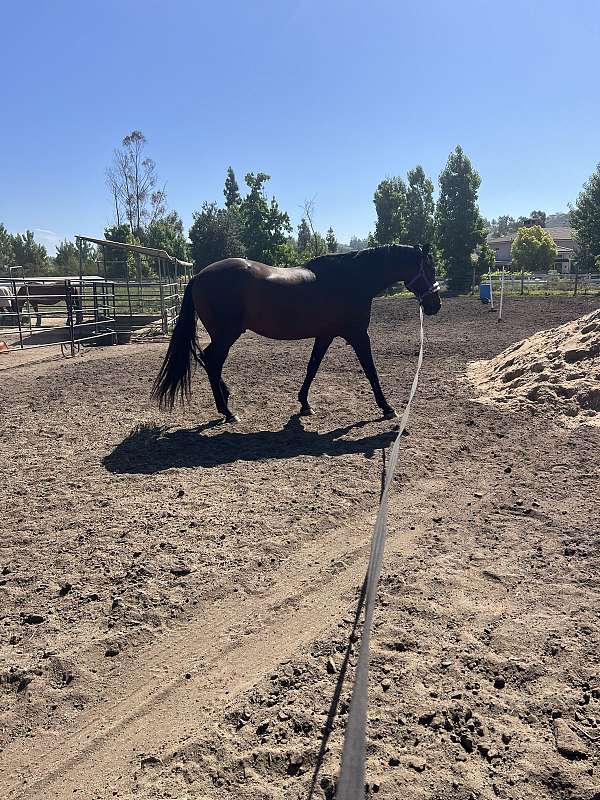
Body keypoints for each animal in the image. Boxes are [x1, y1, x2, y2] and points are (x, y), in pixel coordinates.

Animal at [151, 245, 440, 424]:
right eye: (430, 268)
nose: (434, 305)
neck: (351, 279)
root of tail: (199, 276)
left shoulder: (326, 335)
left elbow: (312, 367)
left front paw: (304, 404)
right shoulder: (358, 334)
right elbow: (371, 370)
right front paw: (387, 407)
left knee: (208, 360)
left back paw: (227, 398)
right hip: (226, 335)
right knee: (211, 361)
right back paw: (228, 412)